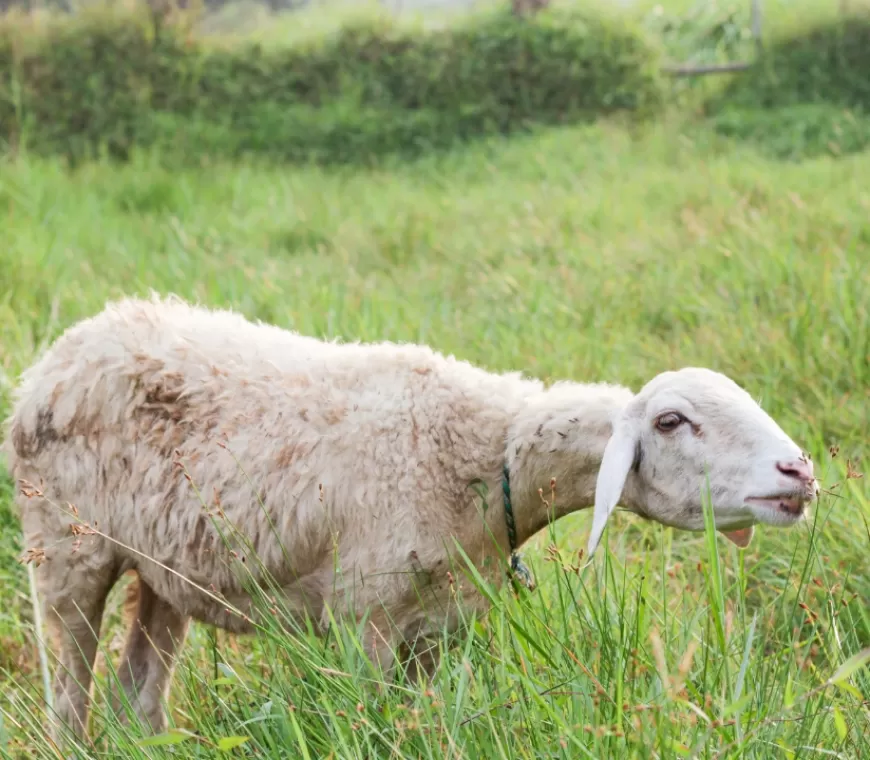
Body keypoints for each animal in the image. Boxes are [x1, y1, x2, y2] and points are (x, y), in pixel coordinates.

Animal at [0, 292, 820, 744]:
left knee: (138, 687)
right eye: (674, 422)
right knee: (68, 693)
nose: (801, 472)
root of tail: (65, 349)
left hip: (163, 566)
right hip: (63, 547)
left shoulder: (437, 628)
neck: (486, 460)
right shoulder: (363, 613)